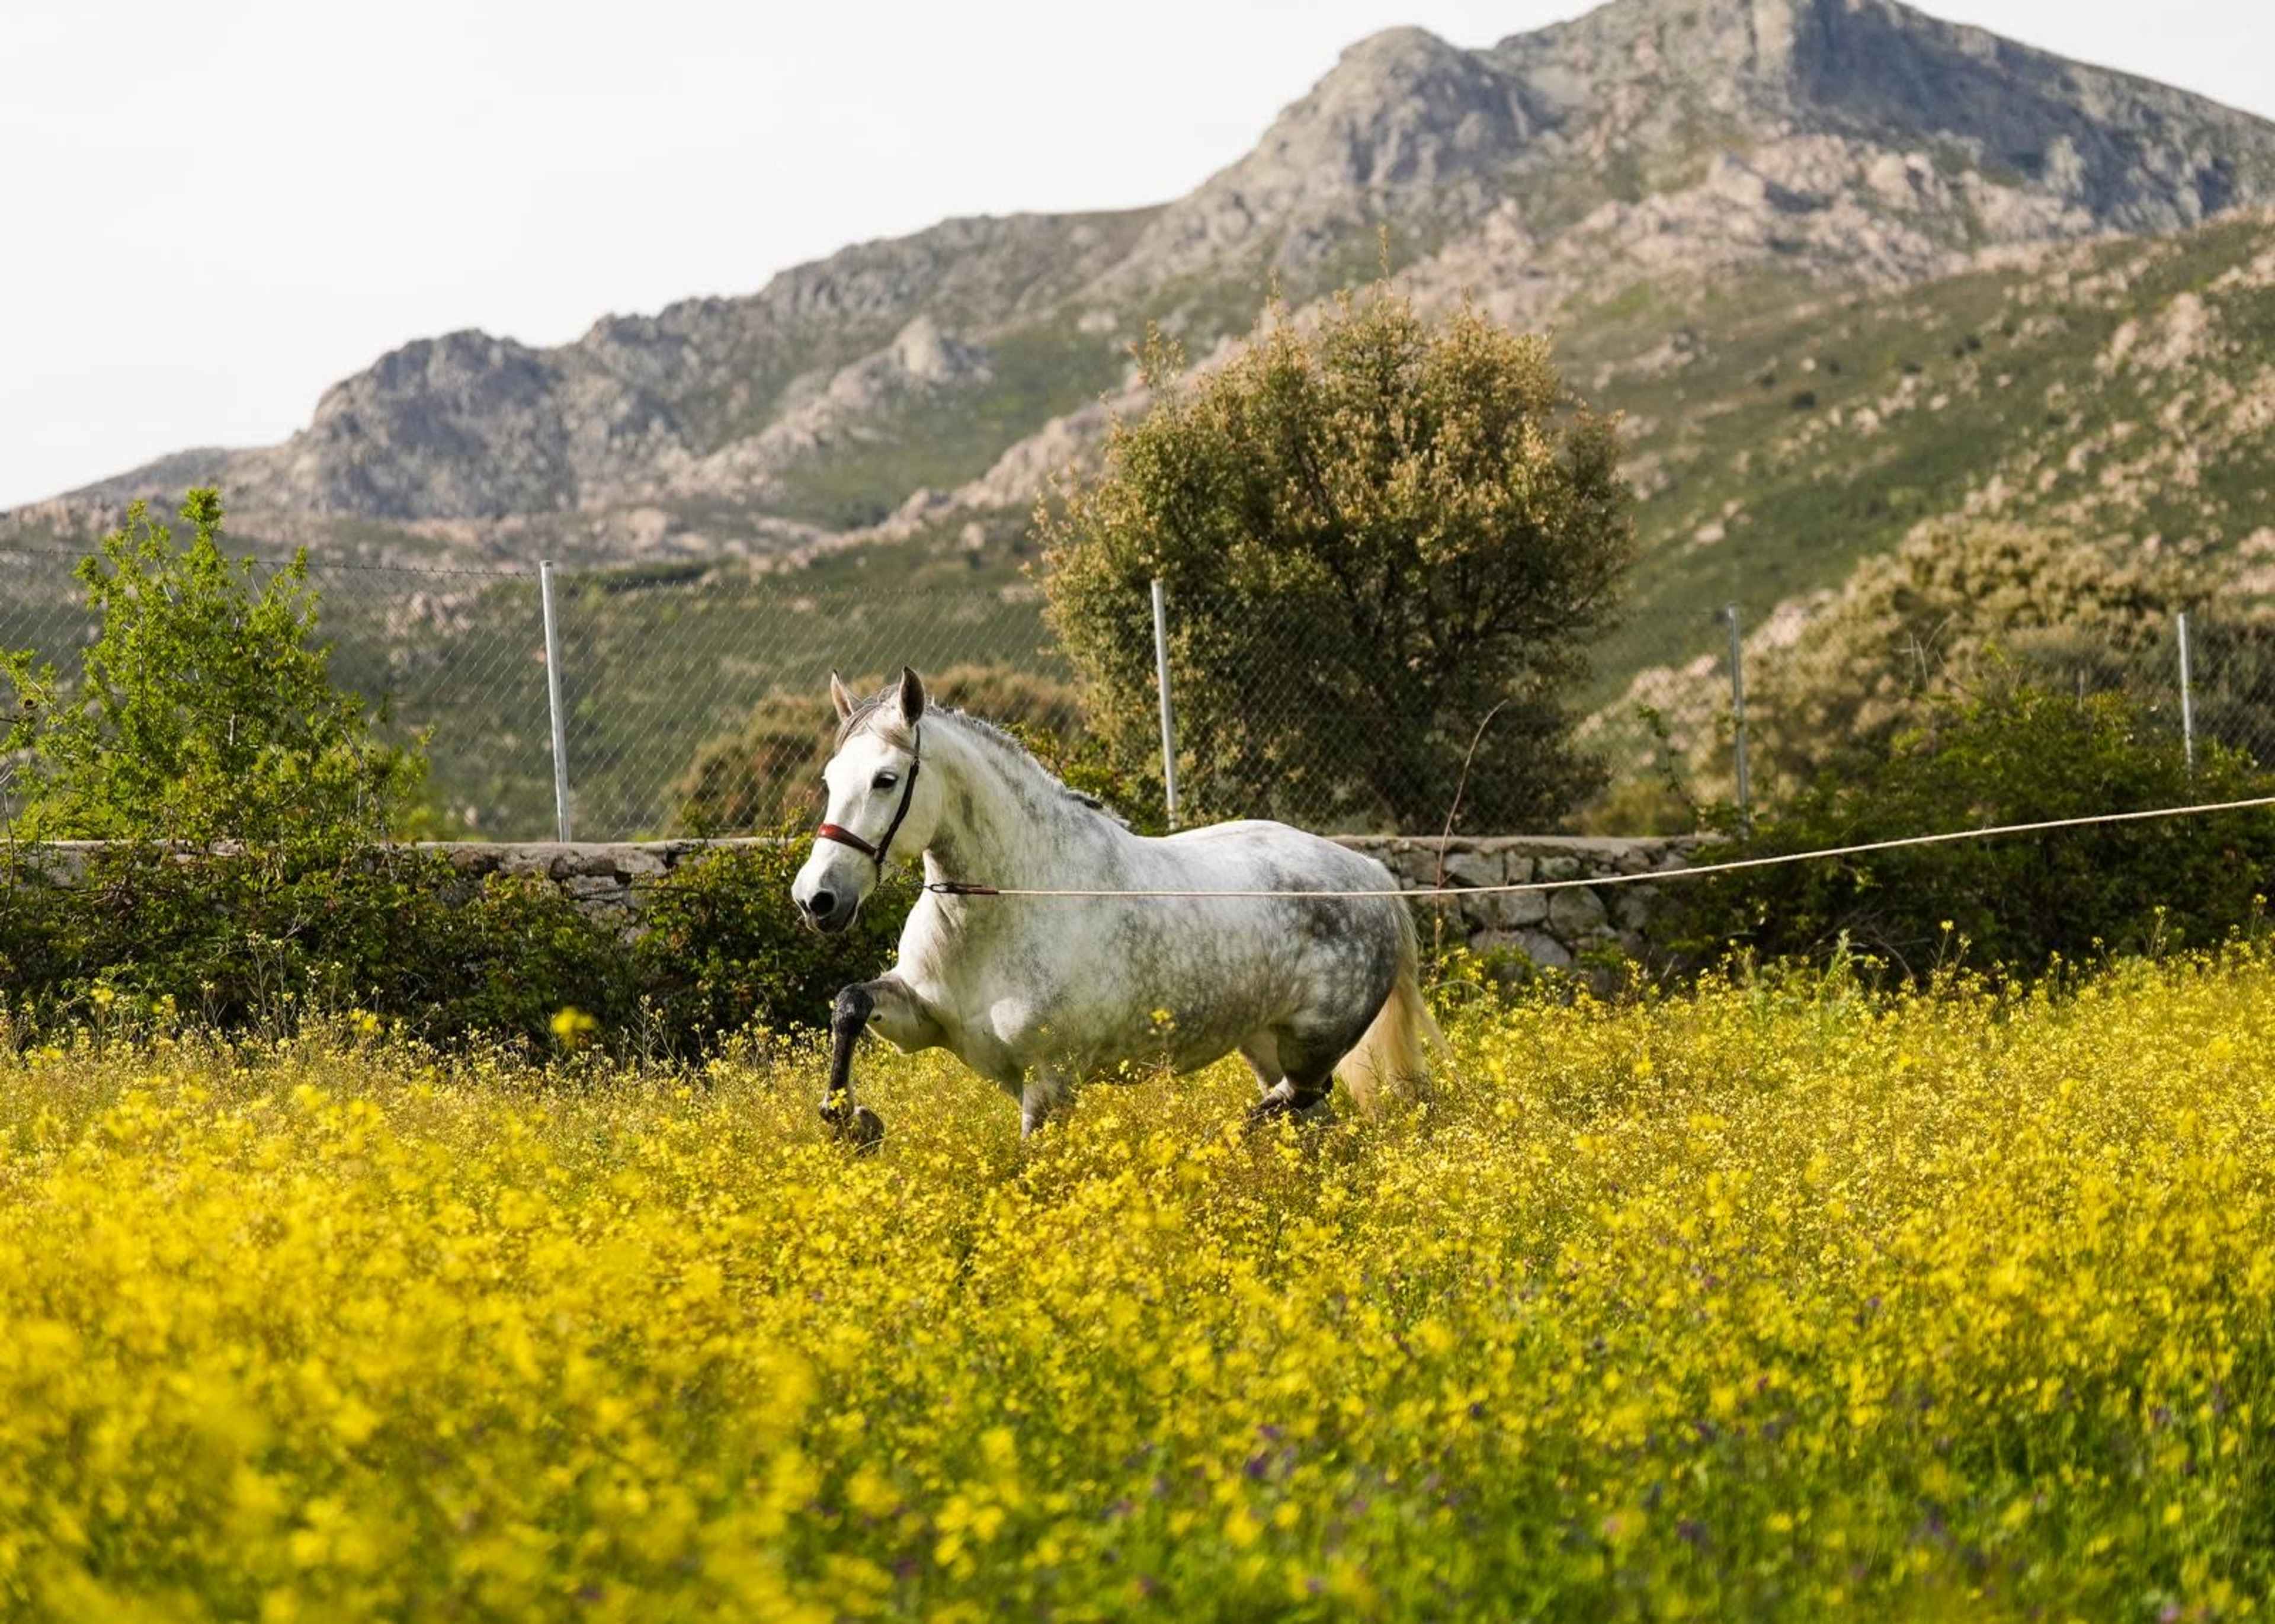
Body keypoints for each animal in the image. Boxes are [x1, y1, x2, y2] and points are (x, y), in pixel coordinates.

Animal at [788, 666, 1438, 1145]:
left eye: (886, 779)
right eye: (830, 778)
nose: (817, 899)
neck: (1005, 908)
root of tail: (1371, 876)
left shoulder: (1051, 1081)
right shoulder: (920, 1020)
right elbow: (850, 1002)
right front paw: (851, 1120)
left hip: (1314, 1040)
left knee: (1302, 1097)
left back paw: (1223, 1138)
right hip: (1263, 1041)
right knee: (1311, 1116)